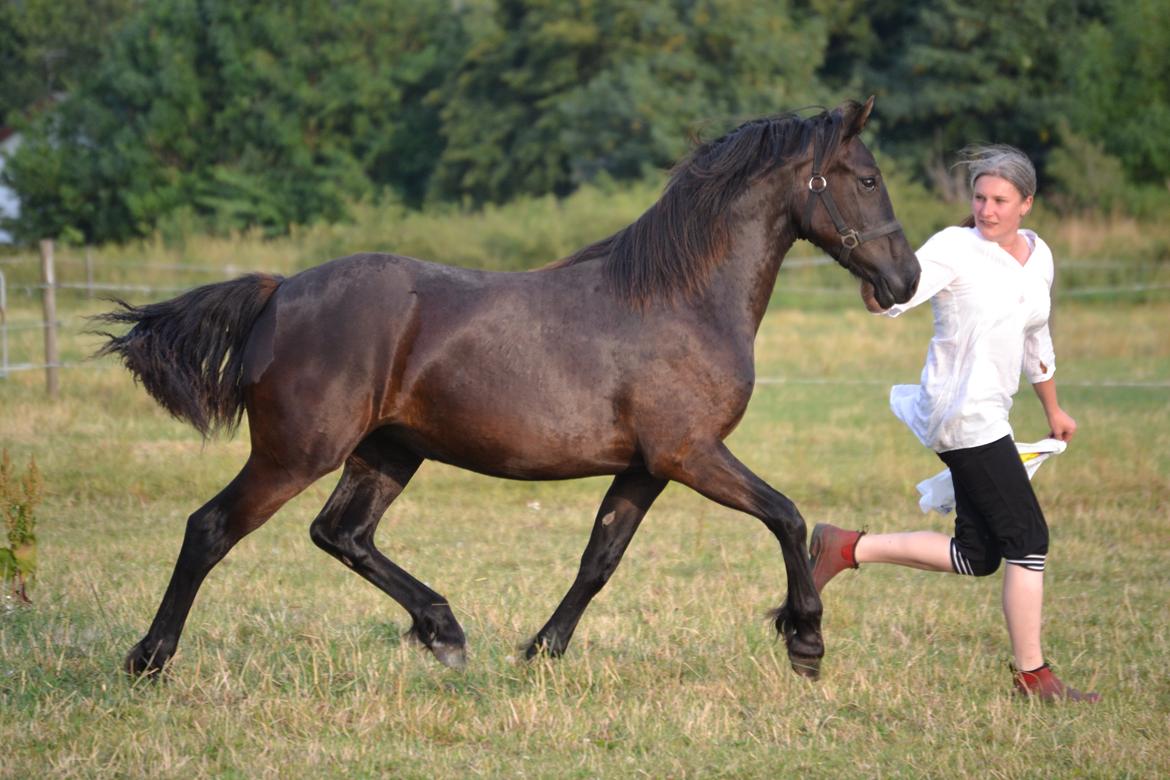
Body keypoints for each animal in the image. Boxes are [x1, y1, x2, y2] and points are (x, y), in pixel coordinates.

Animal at [98, 97, 912, 678]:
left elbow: (600, 558)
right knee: (211, 529)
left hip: (387, 453)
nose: (905, 281)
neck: (681, 299)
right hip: (298, 453)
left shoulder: (647, 467)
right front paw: (804, 638)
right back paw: (149, 660)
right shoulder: (691, 455)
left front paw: (542, 649)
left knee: (342, 534)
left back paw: (443, 630)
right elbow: (785, 515)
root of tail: (281, 291)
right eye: (868, 180)